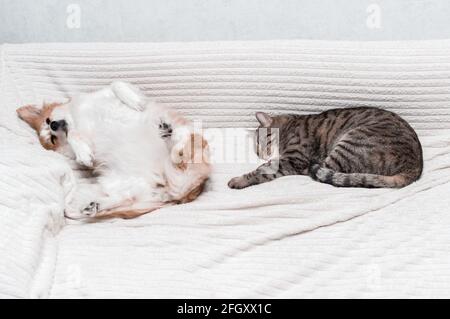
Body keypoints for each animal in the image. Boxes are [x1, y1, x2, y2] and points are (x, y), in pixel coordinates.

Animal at [17, 82, 211, 220]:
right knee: (125, 198)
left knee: (181, 150)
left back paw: (167, 132)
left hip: (191, 144)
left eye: (48, 120)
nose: (54, 125)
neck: (78, 119)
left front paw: (134, 101)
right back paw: (93, 206)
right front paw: (83, 153)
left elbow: (116, 83)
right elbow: (73, 136)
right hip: (121, 183)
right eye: (52, 139)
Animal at [229, 107, 422, 189]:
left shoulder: (293, 159)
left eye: (261, 142)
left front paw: (238, 180)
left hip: (351, 143)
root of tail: (415, 167)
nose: (260, 154)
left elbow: (261, 170)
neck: (288, 127)